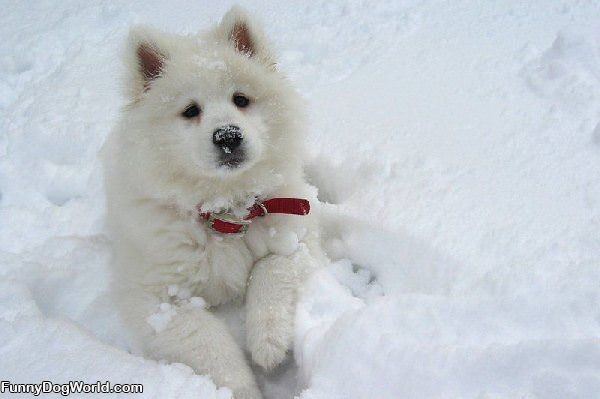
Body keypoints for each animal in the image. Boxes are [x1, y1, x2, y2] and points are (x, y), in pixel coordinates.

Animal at [103, 7, 328, 399]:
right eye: (191, 110)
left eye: (241, 99)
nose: (227, 136)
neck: (227, 211)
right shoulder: (156, 299)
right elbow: (207, 339)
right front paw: (243, 388)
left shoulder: (296, 236)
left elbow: (270, 272)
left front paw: (267, 344)